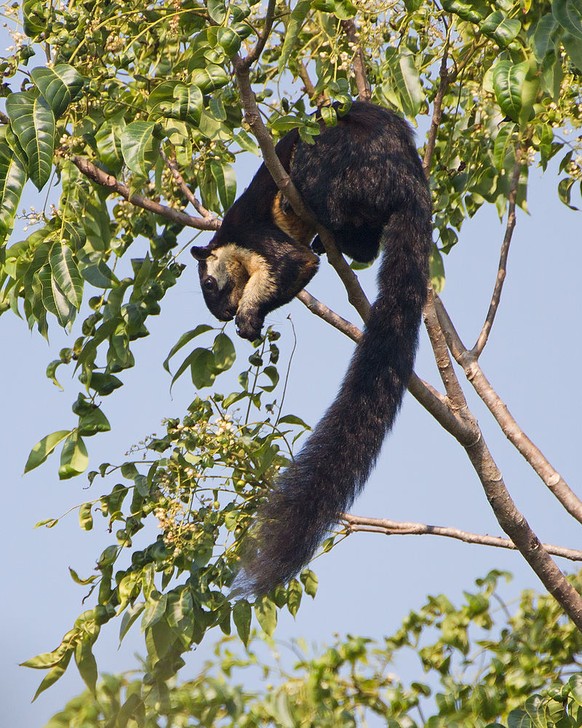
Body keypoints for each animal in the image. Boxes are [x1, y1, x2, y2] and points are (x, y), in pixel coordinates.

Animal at [192, 99, 434, 596]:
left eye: (208, 285)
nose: (223, 315)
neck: (231, 240)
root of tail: (408, 181)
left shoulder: (256, 234)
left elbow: (296, 264)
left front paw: (249, 317)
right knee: (365, 245)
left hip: (324, 163)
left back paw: (315, 219)